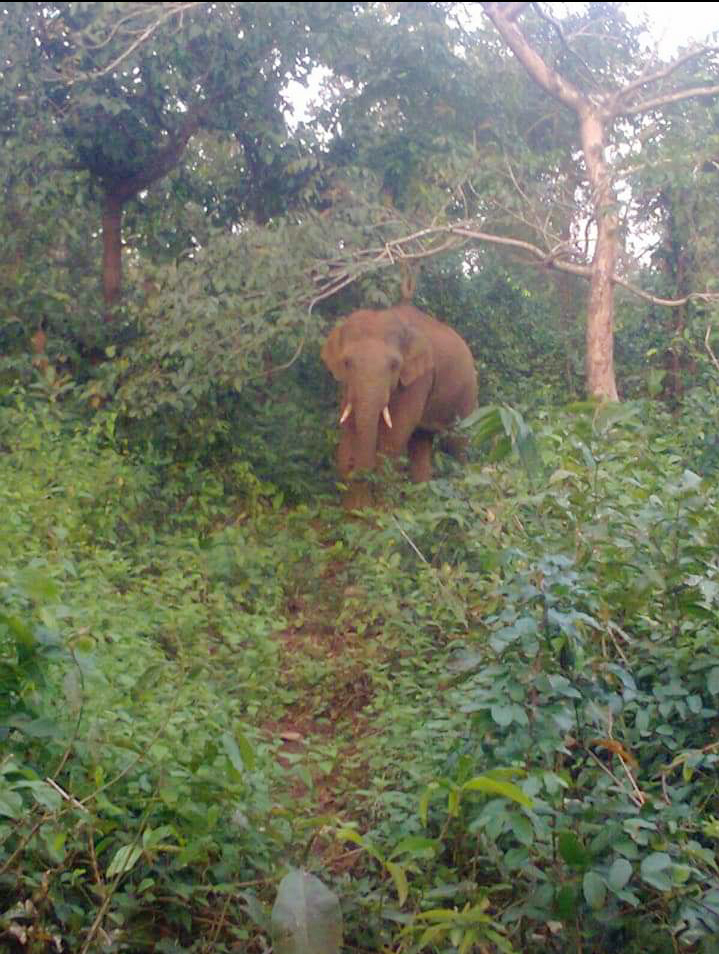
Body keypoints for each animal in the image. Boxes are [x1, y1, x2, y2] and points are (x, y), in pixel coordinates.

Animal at [322, 304, 477, 507]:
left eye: (395, 365)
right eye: (347, 362)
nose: (362, 471)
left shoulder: (419, 379)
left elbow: (394, 437)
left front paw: (377, 511)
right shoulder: (347, 386)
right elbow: (348, 430)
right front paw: (354, 510)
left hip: (468, 394)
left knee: (457, 442)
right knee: (421, 441)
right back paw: (420, 500)